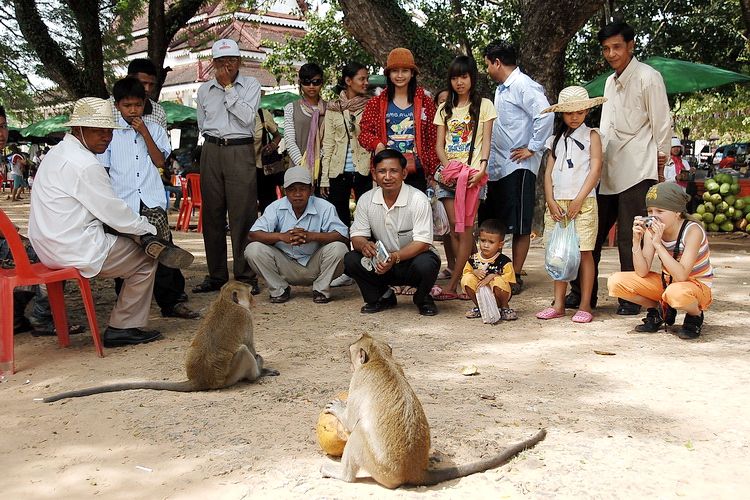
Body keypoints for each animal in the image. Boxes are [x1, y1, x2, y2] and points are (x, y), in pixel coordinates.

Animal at [41, 282, 276, 402]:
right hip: (228, 377)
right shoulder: (246, 317)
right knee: (244, 351)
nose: (254, 300)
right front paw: (262, 364)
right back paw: (256, 375)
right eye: (250, 293)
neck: (226, 301)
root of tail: (198, 380)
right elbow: (251, 347)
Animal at [322, 332, 548, 488]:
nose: (349, 364)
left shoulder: (357, 382)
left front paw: (339, 408)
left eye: (350, 352)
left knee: (358, 433)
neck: (380, 358)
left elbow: (350, 422)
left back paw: (340, 474)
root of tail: (415, 471)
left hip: (378, 466)